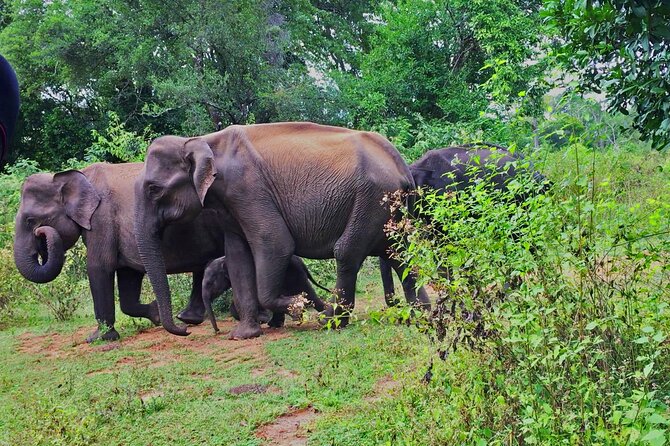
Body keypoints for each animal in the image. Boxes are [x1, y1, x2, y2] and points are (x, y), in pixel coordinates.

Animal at [13, 164, 227, 342]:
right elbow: (128, 274)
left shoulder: (102, 220)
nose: (41, 232)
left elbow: (99, 267)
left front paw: (98, 339)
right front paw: (156, 314)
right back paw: (186, 319)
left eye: (30, 220)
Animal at [203, 256, 332, 332]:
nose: (217, 330)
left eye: (210, 283)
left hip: (294, 275)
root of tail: (301, 262)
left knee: (307, 293)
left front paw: (262, 319)